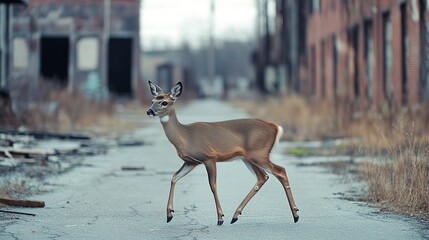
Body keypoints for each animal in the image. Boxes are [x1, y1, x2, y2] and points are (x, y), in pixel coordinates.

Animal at [145, 81, 300, 226]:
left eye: (164, 102)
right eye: (152, 100)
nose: (149, 111)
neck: (185, 136)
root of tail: (275, 127)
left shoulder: (209, 156)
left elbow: (213, 185)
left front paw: (220, 218)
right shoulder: (191, 162)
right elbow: (174, 177)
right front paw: (169, 214)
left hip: (259, 154)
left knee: (280, 170)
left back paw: (296, 215)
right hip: (248, 158)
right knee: (263, 177)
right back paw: (236, 215)